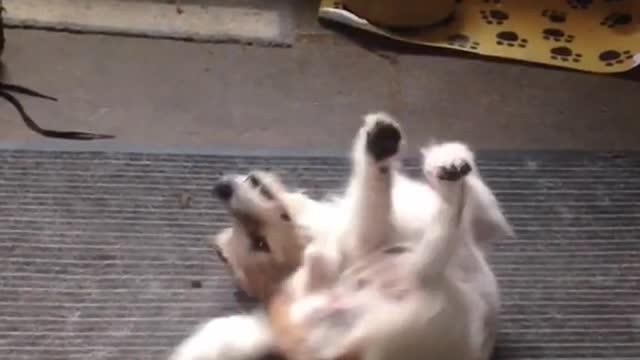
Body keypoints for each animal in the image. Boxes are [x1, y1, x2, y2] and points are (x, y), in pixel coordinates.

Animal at [170, 112, 516, 360]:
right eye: (260, 243)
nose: (221, 189)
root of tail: (275, 332)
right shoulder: (363, 238)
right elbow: (374, 192)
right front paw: (379, 148)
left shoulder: (486, 222)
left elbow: (473, 190)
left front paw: (445, 158)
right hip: (407, 285)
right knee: (434, 243)